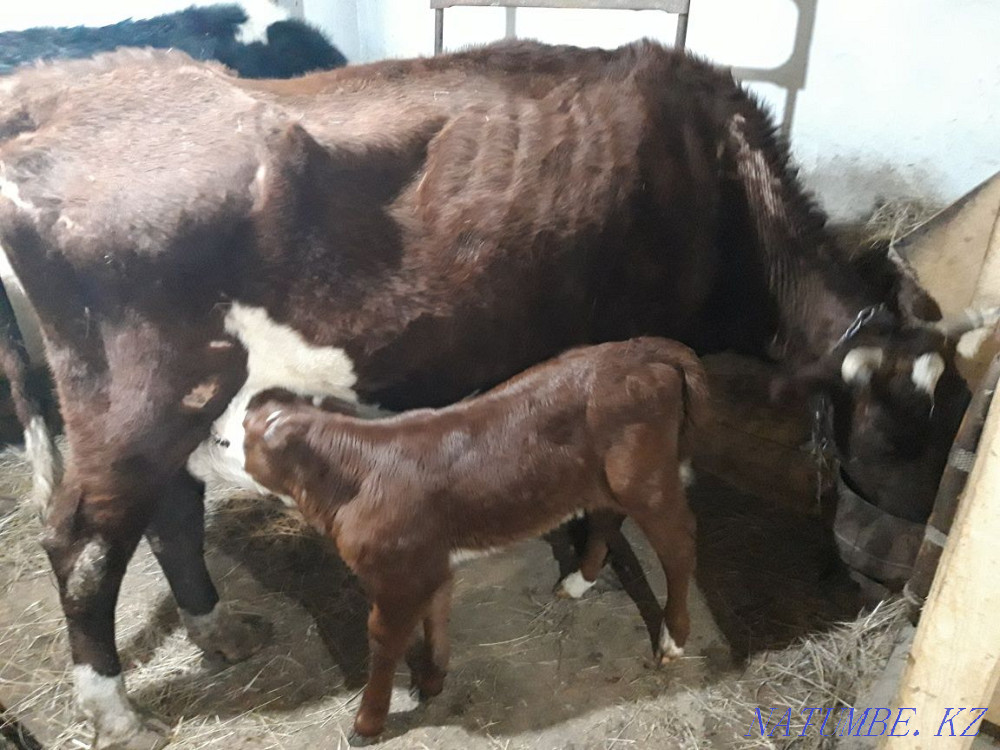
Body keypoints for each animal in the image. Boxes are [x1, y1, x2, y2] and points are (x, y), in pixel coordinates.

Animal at [0, 40, 976, 748]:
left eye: (951, 418)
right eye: (902, 430)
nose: (901, 580)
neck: (721, 188)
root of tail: (58, 95)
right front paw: (589, 574)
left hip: (177, 405)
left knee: (169, 512)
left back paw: (216, 628)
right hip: (140, 400)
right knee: (82, 545)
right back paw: (119, 713)